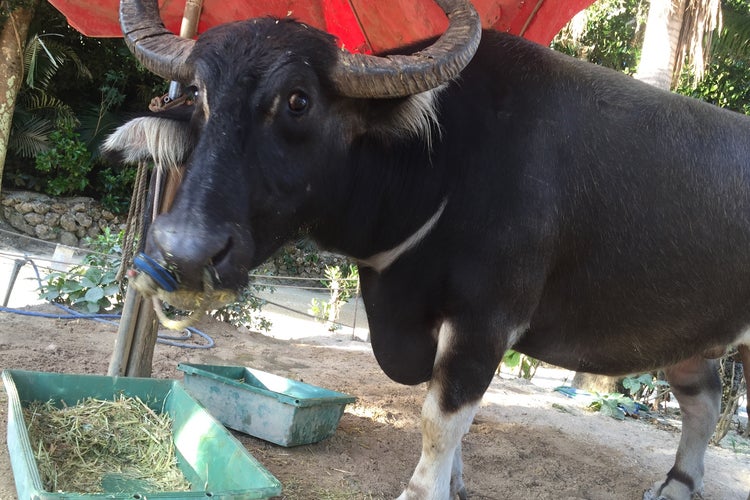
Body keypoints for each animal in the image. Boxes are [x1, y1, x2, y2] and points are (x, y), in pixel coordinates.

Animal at [107, 0, 750, 496]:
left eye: (297, 100)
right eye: (198, 93)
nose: (186, 251)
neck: (445, 166)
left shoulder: (487, 320)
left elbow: (441, 418)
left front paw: (424, 490)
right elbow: (448, 413)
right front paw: (456, 484)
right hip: (690, 338)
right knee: (702, 402)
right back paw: (676, 484)